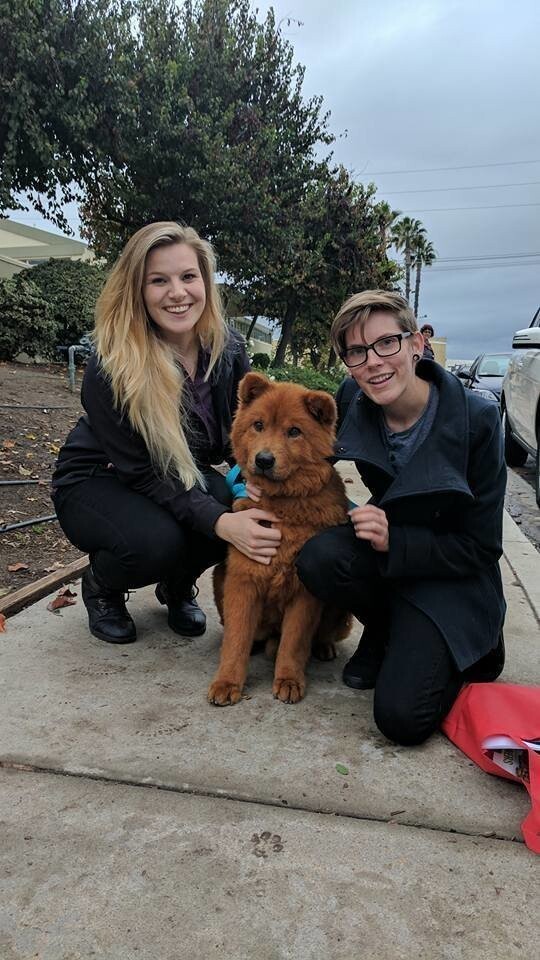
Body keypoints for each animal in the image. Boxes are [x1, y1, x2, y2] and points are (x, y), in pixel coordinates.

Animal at [207, 376, 350, 704]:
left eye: (294, 431)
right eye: (258, 425)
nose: (264, 460)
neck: (283, 505)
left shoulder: (304, 592)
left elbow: (293, 642)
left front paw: (288, 679)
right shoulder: (243, 579)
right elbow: (236, 639)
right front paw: (227, 681)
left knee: (315, 636)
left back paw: (323, 647)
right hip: (220, 576)